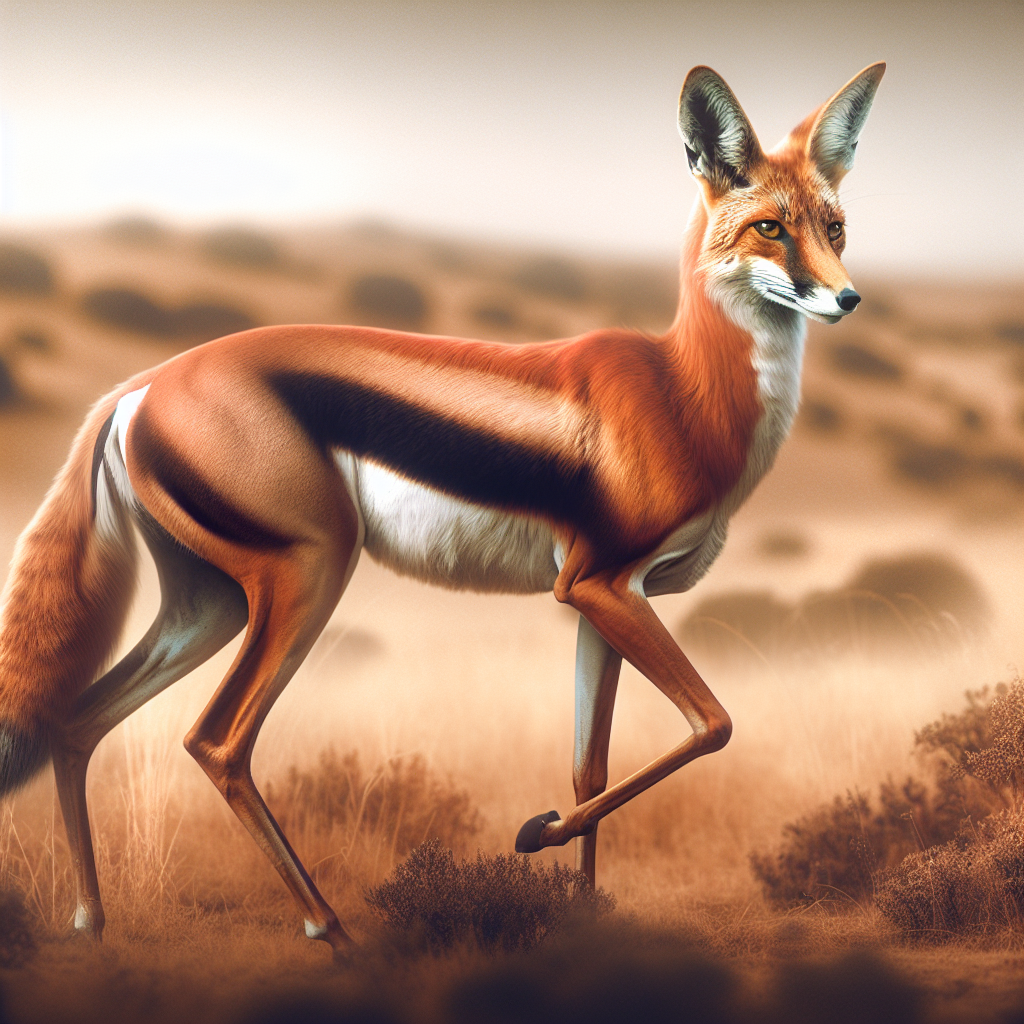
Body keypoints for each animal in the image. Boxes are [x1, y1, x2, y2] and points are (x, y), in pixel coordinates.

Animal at [0, 63, 884, 953]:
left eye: (835, 225)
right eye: (769, 226)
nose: (846, 298)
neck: (682, 393)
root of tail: (141, 387)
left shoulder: (605, 601)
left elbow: (588, 767)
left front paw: (580, 915)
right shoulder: (600, 585)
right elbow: (712, 722)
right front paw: (533, 833)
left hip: (209, 603)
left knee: (76, 721)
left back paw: (92, 922)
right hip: (306, 579)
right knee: (217, 741)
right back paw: (334, 934)